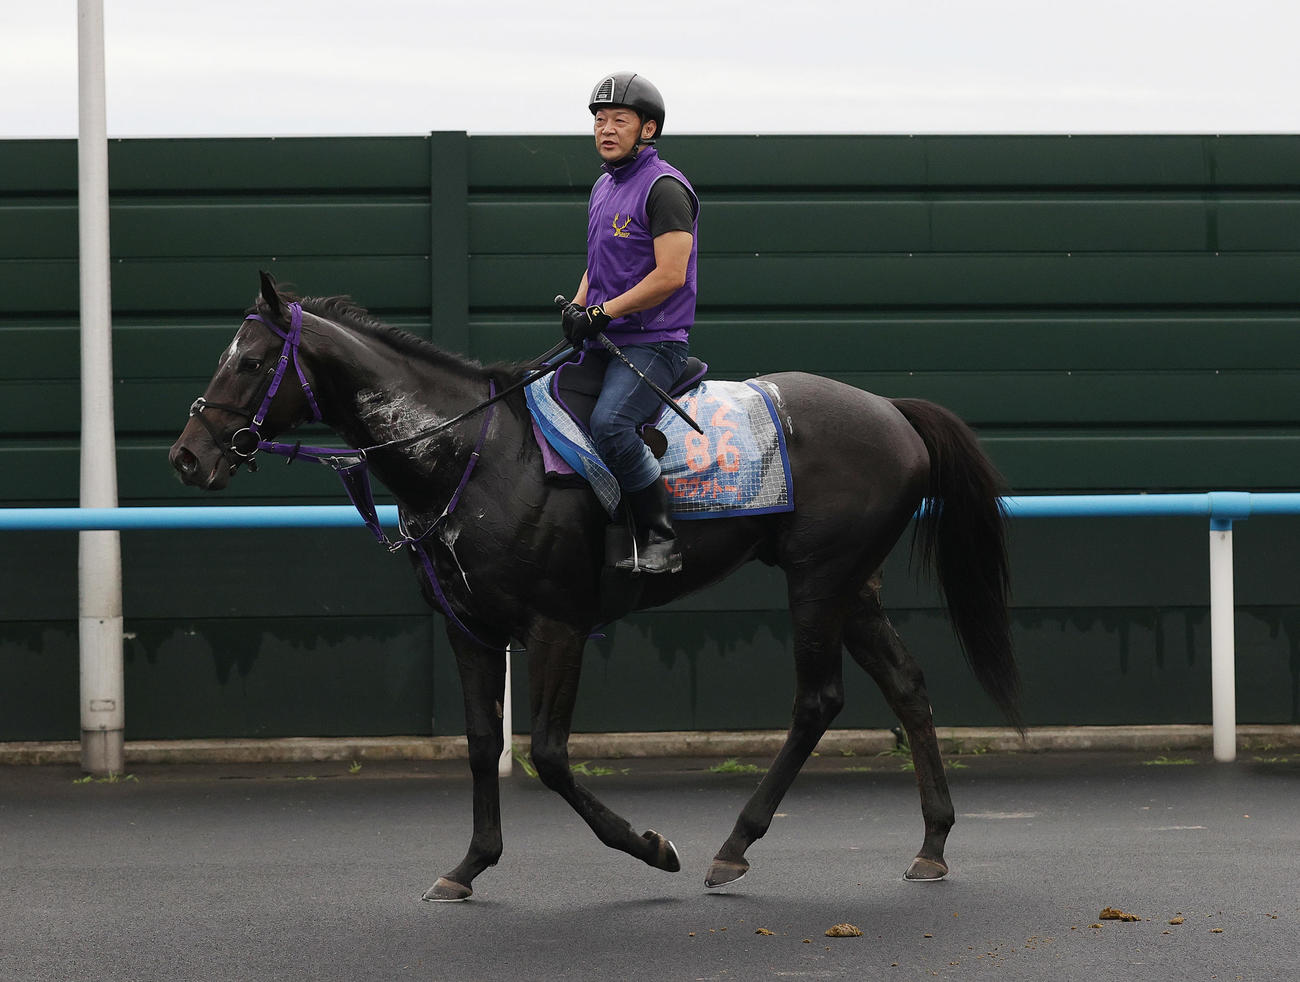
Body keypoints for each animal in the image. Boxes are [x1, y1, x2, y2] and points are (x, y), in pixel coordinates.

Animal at [169, 271, 1021, 902]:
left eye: (250, 362)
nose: (188, 455)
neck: (471, 452)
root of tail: (892, 411)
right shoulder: (469, 627)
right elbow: (482, 745)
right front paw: (469, 865)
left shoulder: (559, 626)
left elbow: (547, 755)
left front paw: (649, 845)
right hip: (850, 584)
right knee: (906, 684)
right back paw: (933, 842)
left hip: (820, 581)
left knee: (818, 700)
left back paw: (733, 845)